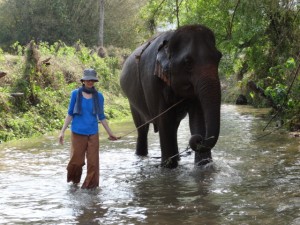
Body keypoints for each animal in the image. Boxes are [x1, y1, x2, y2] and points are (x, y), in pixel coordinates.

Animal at [120, 24, 223, 169]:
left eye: (219, 57)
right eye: (188, 62)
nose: (199, 139)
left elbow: (198, 118)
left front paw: (204, 165)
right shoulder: (152, 82)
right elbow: (164, 120)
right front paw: (169, 167)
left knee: (174, 126)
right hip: (132, 101)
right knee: (142, 128)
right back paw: (141, 156)